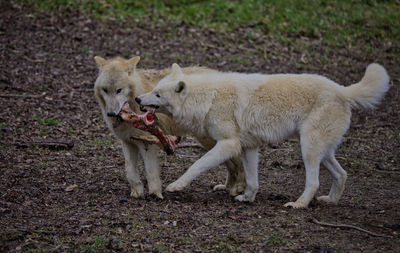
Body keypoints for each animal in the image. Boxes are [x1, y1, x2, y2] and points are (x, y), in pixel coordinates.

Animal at [93, 56, 247, 200]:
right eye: (105, 90)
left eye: (119, 90)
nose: (111, 113)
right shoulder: (127, 142)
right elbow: (129, 170)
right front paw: (137, 191)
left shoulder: (147, 143)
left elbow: (151, 172)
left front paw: (155, 194)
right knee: (231, 164)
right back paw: (227, 187)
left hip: (212, 141)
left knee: (238, 162)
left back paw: (239, 188)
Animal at [138, 62, 390, 208]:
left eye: (158, 94)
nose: (139, 99)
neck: (209, 97)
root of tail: (343, 90)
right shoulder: (249, 147)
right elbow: (252, 179)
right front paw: (247, 197)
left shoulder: (228, 145)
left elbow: (196, 166)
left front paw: (176, 186)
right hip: (322, 152)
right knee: (342, 174)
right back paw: (331, 200)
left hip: (308, 149)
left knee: (314, 182)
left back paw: (298, 205)